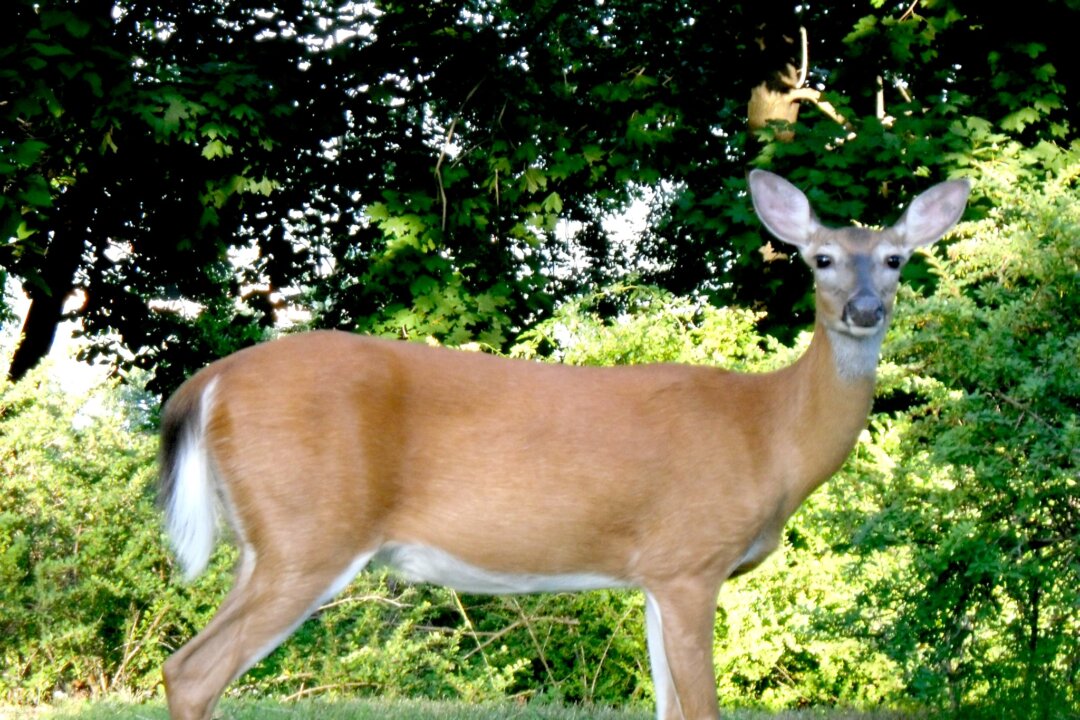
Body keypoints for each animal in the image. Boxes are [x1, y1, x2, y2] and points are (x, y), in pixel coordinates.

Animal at [158, 170, 969, 720]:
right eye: (821, 258)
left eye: (895, 259)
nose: (863, 309)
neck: (770, 433)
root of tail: (208, 382)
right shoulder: (691, 559)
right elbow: (702, 710)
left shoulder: (655, 576)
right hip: (312, 532)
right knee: (194, 671)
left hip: (266, 541)